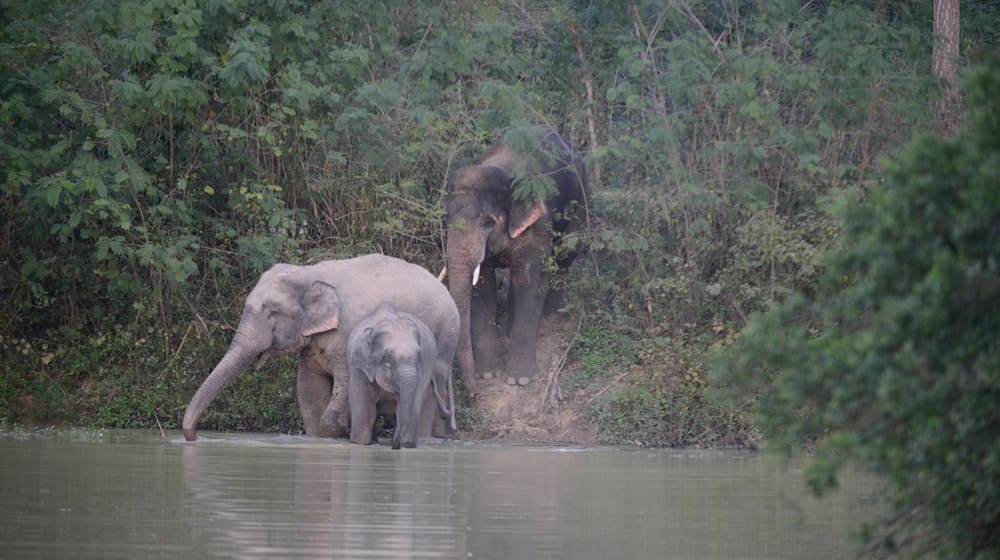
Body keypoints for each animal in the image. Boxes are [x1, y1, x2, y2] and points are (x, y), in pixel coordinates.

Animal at [347, 303, 455, 449]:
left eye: (419, 356)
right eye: (386, 358)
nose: (395, 446)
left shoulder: (420, 372)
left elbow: (414, 403)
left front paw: (407, 444)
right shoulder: (360, 368)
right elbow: (364, 404)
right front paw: (361, 442)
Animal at [444, 127, 588, 392]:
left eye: (487, 222)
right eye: (446, 218)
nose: (474, 393)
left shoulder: (538, 222)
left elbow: (530, 281)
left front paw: (520, 380)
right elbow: (483, 286)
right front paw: (489, 374)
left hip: (582, 196)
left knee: (566, 252)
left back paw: (551, 313)